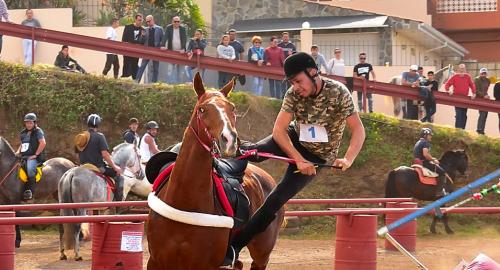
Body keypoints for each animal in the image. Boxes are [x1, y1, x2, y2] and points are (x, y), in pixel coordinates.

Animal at [146, 73, 284, 268]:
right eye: (202, 109)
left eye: (232, 108)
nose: (229, 140)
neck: (184, 200)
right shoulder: (156, 261)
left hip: (261, 254)